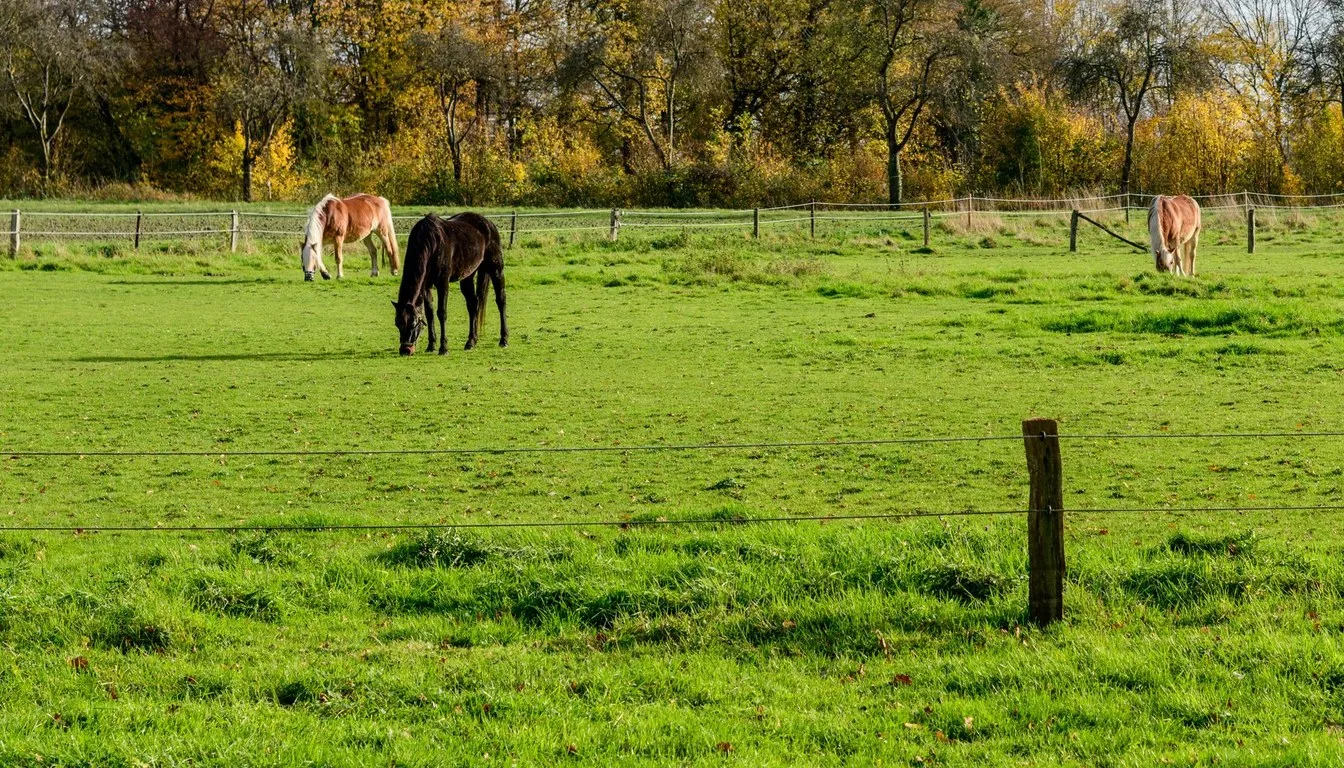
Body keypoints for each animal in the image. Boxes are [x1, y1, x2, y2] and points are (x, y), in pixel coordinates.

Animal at [393, 212, 508, 356]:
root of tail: (488, 223)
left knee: (501, 300)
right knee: (473, 305)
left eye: (413, 323)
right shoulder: (426, 286)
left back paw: (504, 339)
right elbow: (429, 313)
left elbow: (442, 313)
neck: (431, 243)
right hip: (467, 276)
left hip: (496, 269)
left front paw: (443, 348)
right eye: (397, 324)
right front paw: (431, 345)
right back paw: (471, 341)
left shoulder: (443, 283)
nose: (405, 350)